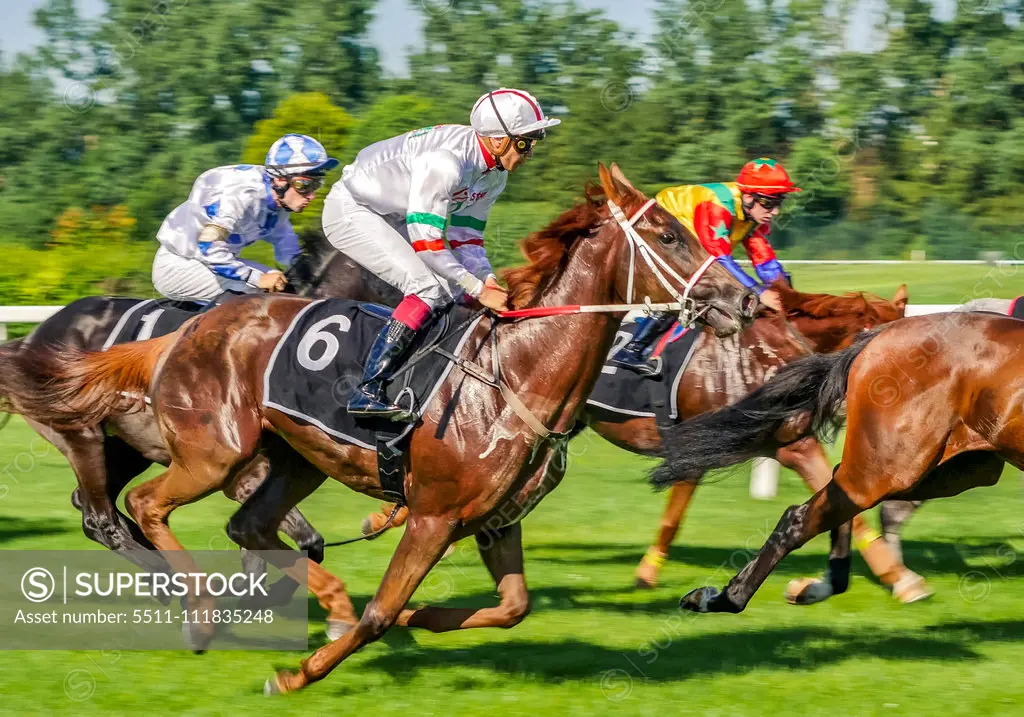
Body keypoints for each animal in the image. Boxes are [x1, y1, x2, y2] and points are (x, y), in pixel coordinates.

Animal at [4, 164, 757, 692]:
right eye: (667, 235)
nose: (742, 297)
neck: (515, 370)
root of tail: (187, 330)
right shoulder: (432, 514)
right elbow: (379, 611)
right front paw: (299, 672)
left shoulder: (495, 519)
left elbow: (511, 605)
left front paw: (420, 621)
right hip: (211, 452)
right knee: (137, 508)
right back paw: (201, 611)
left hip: (290, 460)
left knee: (246, 526)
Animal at [651, 307, 1024, 614]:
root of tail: (877, 337)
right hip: (892, 465)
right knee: (804, 514)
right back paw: (725, 598)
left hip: (960, 466)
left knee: (838, 491)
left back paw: (821, 586)